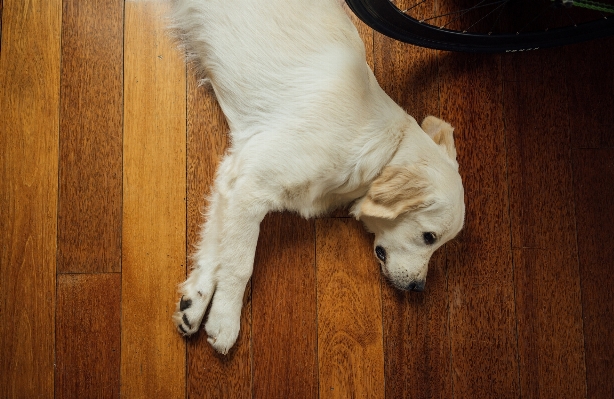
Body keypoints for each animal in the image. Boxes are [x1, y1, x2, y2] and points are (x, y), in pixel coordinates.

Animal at [171, 0, 464, 356]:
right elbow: (240, 263)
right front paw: (225, 322)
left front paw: (195, 304)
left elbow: (215, 253)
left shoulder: (233, 178)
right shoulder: (252, 187)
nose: (418, 288)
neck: (380, 149)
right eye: (429, 237)